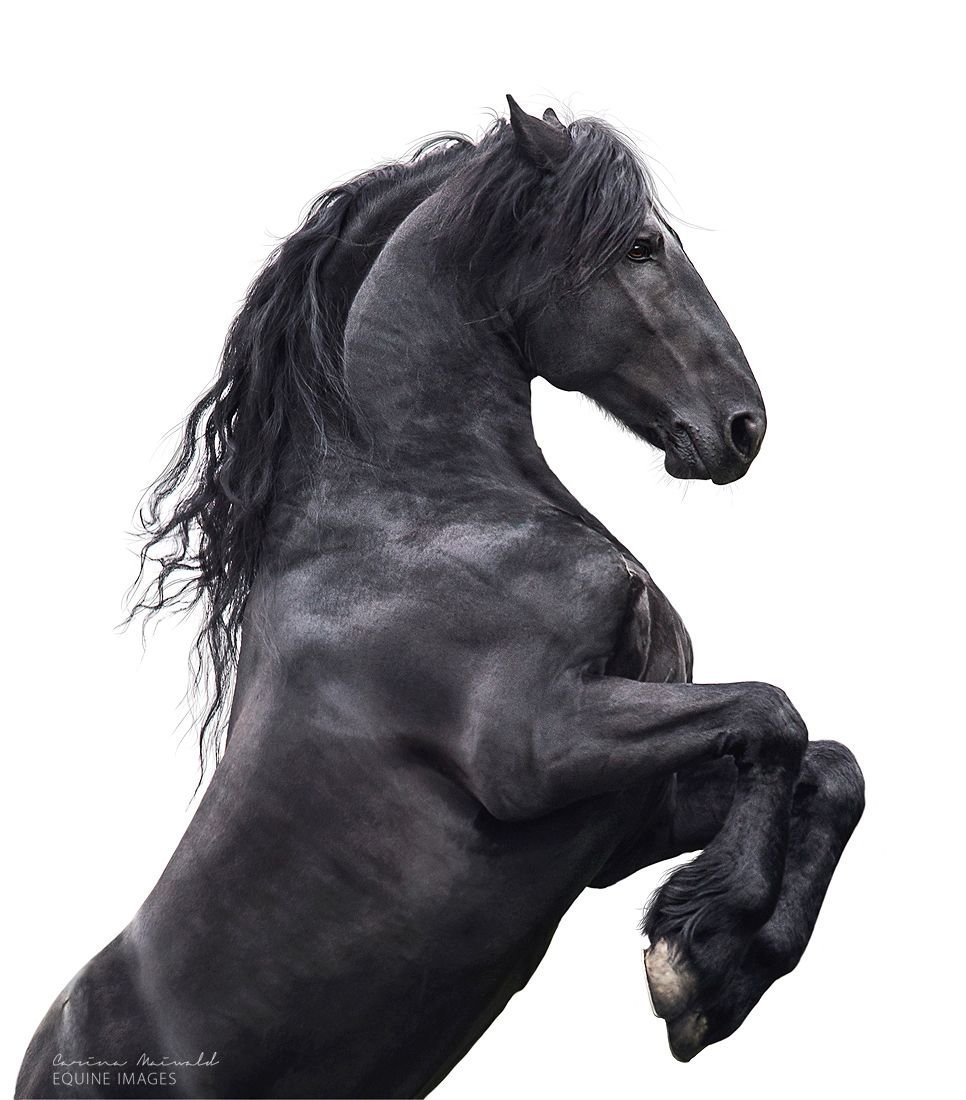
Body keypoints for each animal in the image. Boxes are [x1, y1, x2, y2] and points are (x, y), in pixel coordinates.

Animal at [17, 97, 864, 1099]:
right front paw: (692, 956)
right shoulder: (537, 748)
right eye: (642, 247)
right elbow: (775, 715)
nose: (743, 426)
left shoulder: (624, 817)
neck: (425, 515)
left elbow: (833, 769)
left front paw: (717, 971)